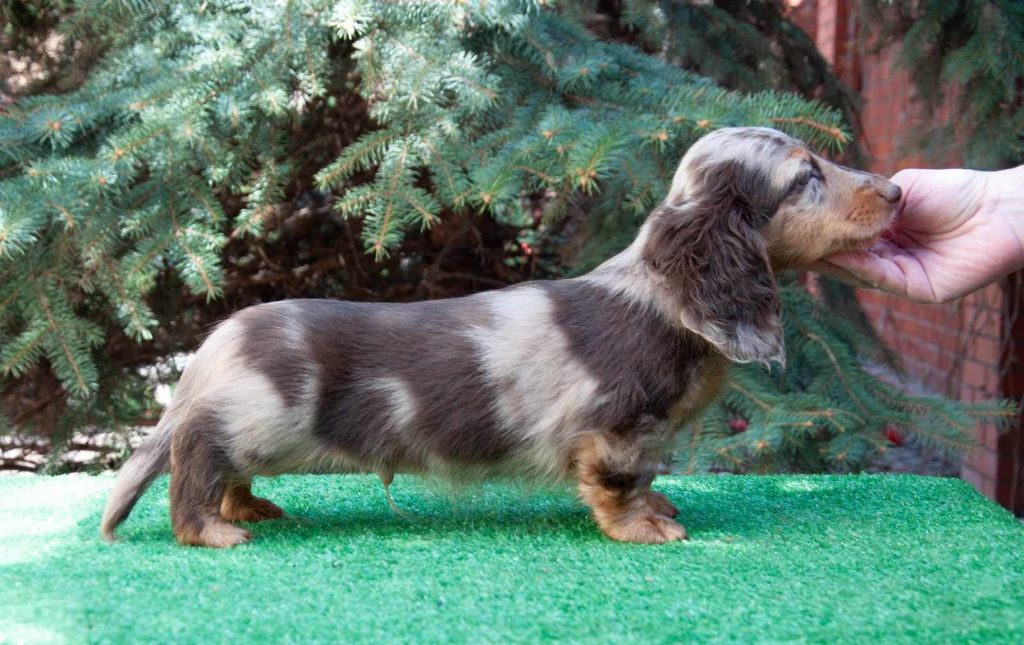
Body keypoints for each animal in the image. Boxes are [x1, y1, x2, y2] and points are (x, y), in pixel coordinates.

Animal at [100, 127, 901, 547]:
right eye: (805, 177)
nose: (896, 191)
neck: (659, 300)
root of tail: (218, 343)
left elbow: (651, 477)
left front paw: (663, 508)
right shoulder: (617, 430)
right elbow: (622, 482)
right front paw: (645, 527)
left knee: (223, 465)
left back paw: (247, 508)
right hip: (254, 416)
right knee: (193, 452)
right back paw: (212, 529)